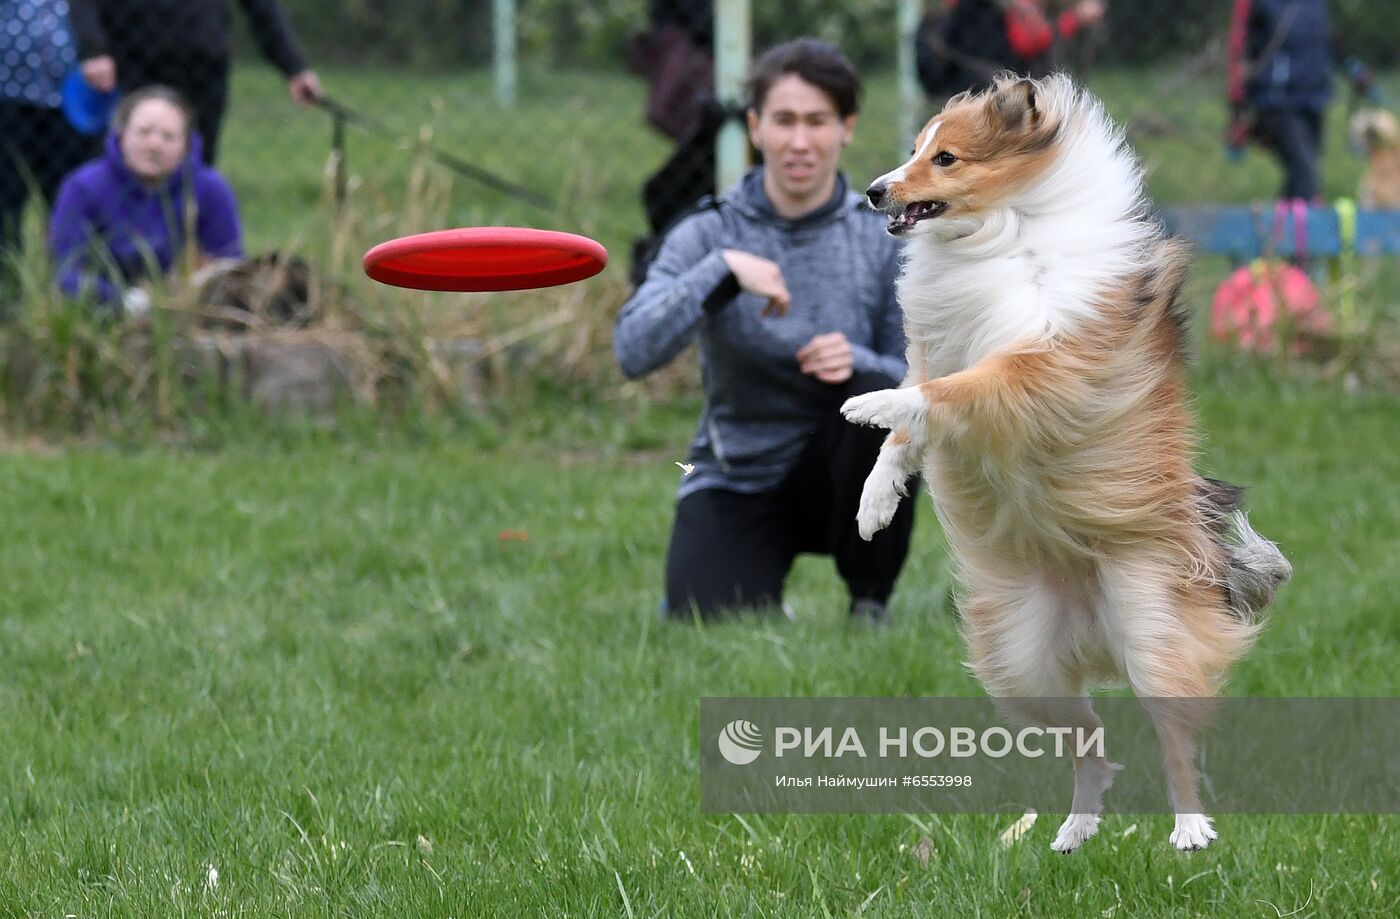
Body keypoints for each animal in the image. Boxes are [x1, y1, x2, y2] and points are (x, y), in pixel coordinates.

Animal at [840, 75, 1288, 851]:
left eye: (947, 158)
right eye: (916, 148)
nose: (873, 191)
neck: (1004, 229)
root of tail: (1090, 624)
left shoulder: (1047, 368)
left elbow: (949, 390)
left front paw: (868, 401)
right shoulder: (939, 349)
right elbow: (909, 428)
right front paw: (874, 501)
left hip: (1149, 629)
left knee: (1174, 740)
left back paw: (1190, 830)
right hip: (1021, 664)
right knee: (1093, 743)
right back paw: (1073, 830)